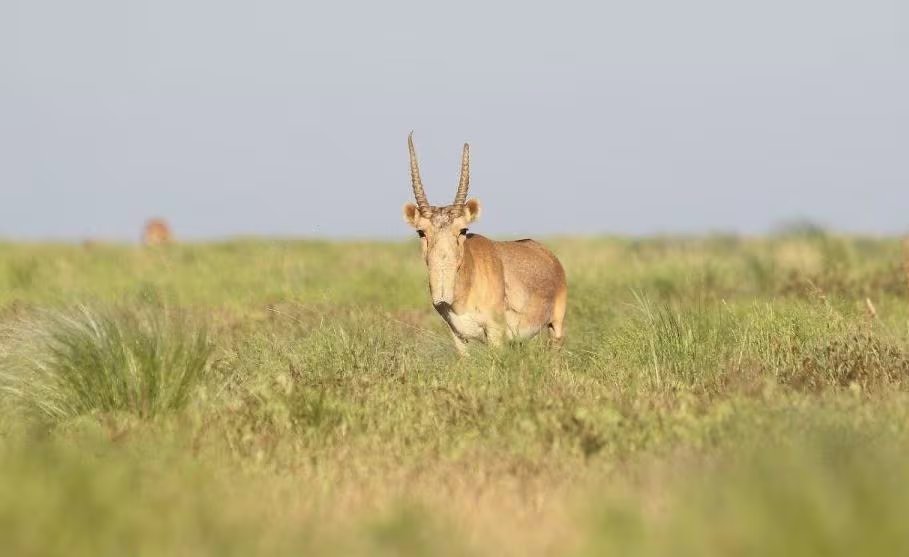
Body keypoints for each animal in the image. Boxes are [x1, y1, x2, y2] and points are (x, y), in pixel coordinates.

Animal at [403, 133, 567, 355]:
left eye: (463, 230)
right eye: (421, 232)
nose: (442, 293)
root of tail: (548, 255)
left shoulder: (495, 332)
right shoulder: (457, 335)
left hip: (556, 326)